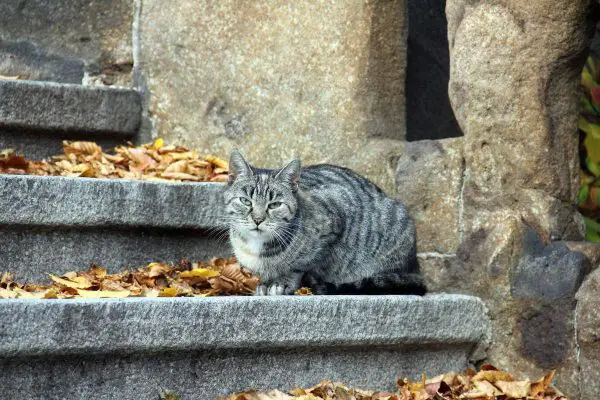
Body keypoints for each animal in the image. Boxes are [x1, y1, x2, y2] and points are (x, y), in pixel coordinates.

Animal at [221, 152, 426, 296]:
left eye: (274, 205)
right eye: (245, 201)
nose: (258, 219)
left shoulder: (335, 217)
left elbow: (301, 265)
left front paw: (282, 282)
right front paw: (265, 283)